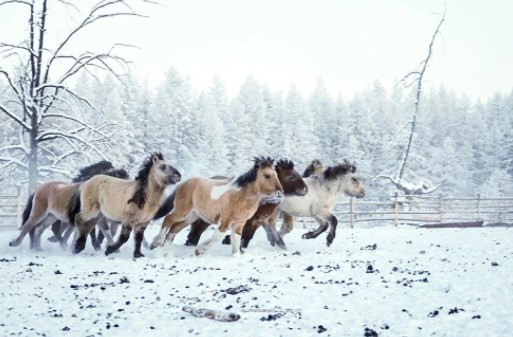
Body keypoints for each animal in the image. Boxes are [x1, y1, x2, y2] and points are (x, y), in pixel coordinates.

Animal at [148, 157, 284, 255]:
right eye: (267, 175)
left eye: (276, 175)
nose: (280, 193)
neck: (241, 195)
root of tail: (183, 183)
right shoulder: (225, 220)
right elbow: (219, 235)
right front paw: (199, 251)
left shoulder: (239, 223)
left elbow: (236, 239)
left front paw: (236, 255)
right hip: (183, 211)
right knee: (168, 219)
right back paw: (155, 243)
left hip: (192, 216)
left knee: (174, 228)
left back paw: (165, 253)